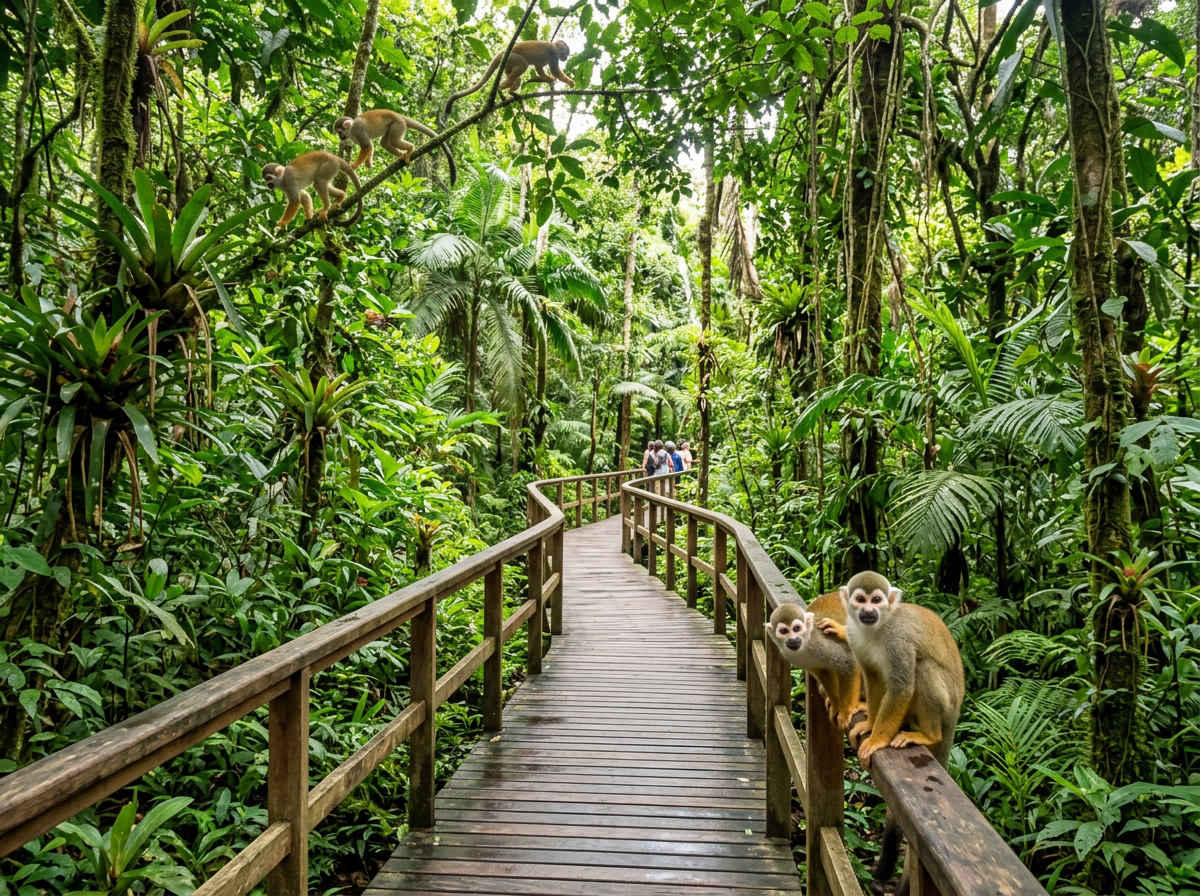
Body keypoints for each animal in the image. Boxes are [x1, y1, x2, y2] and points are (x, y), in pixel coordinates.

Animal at [442, 40, 573, 119]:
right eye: (566, 53)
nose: (566, 58)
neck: (554, 47)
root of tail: (503, 52)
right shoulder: (553, 52)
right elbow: (554, 71)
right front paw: (568, 82)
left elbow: (539, 68)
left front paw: (546, 78)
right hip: (511, 57)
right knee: (523, 65)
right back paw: (500, 89)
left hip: (507, 65)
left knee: (517, 77)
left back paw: (510, 92)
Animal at [763, 593, 864, 730]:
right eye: (784, 631)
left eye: (796, 628)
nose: (793, 639)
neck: (806, 643)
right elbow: (823, 672)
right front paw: (836, 703)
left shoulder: (821, 643)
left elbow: (848, 663)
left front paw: (846, 710)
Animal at [839, 570, 965, 896]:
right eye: (860, 599)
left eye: (876, 600)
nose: (868, 611)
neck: (877, 628)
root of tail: (956, 713)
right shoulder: (854, 632)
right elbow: (872, 676)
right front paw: (870, 725)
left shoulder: (898, 642)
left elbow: (901, 687)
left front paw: (877, 739)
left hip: (947, 703)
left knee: (922, 668)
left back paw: (928, 735)